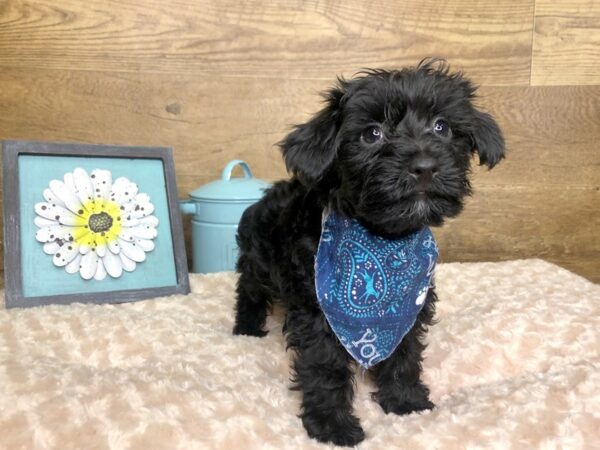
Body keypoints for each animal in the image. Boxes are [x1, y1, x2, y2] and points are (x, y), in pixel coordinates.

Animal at [232, 60, 504, 446]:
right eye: (372, 134)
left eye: (442, 127)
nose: (424, 165)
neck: (386, 239)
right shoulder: (317, 313)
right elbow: (325, 367)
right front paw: (331, 425)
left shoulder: (411, 304)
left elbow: (405, 353)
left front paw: (405, 401)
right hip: (258, 262)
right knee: (249, 290)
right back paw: (246, 328)